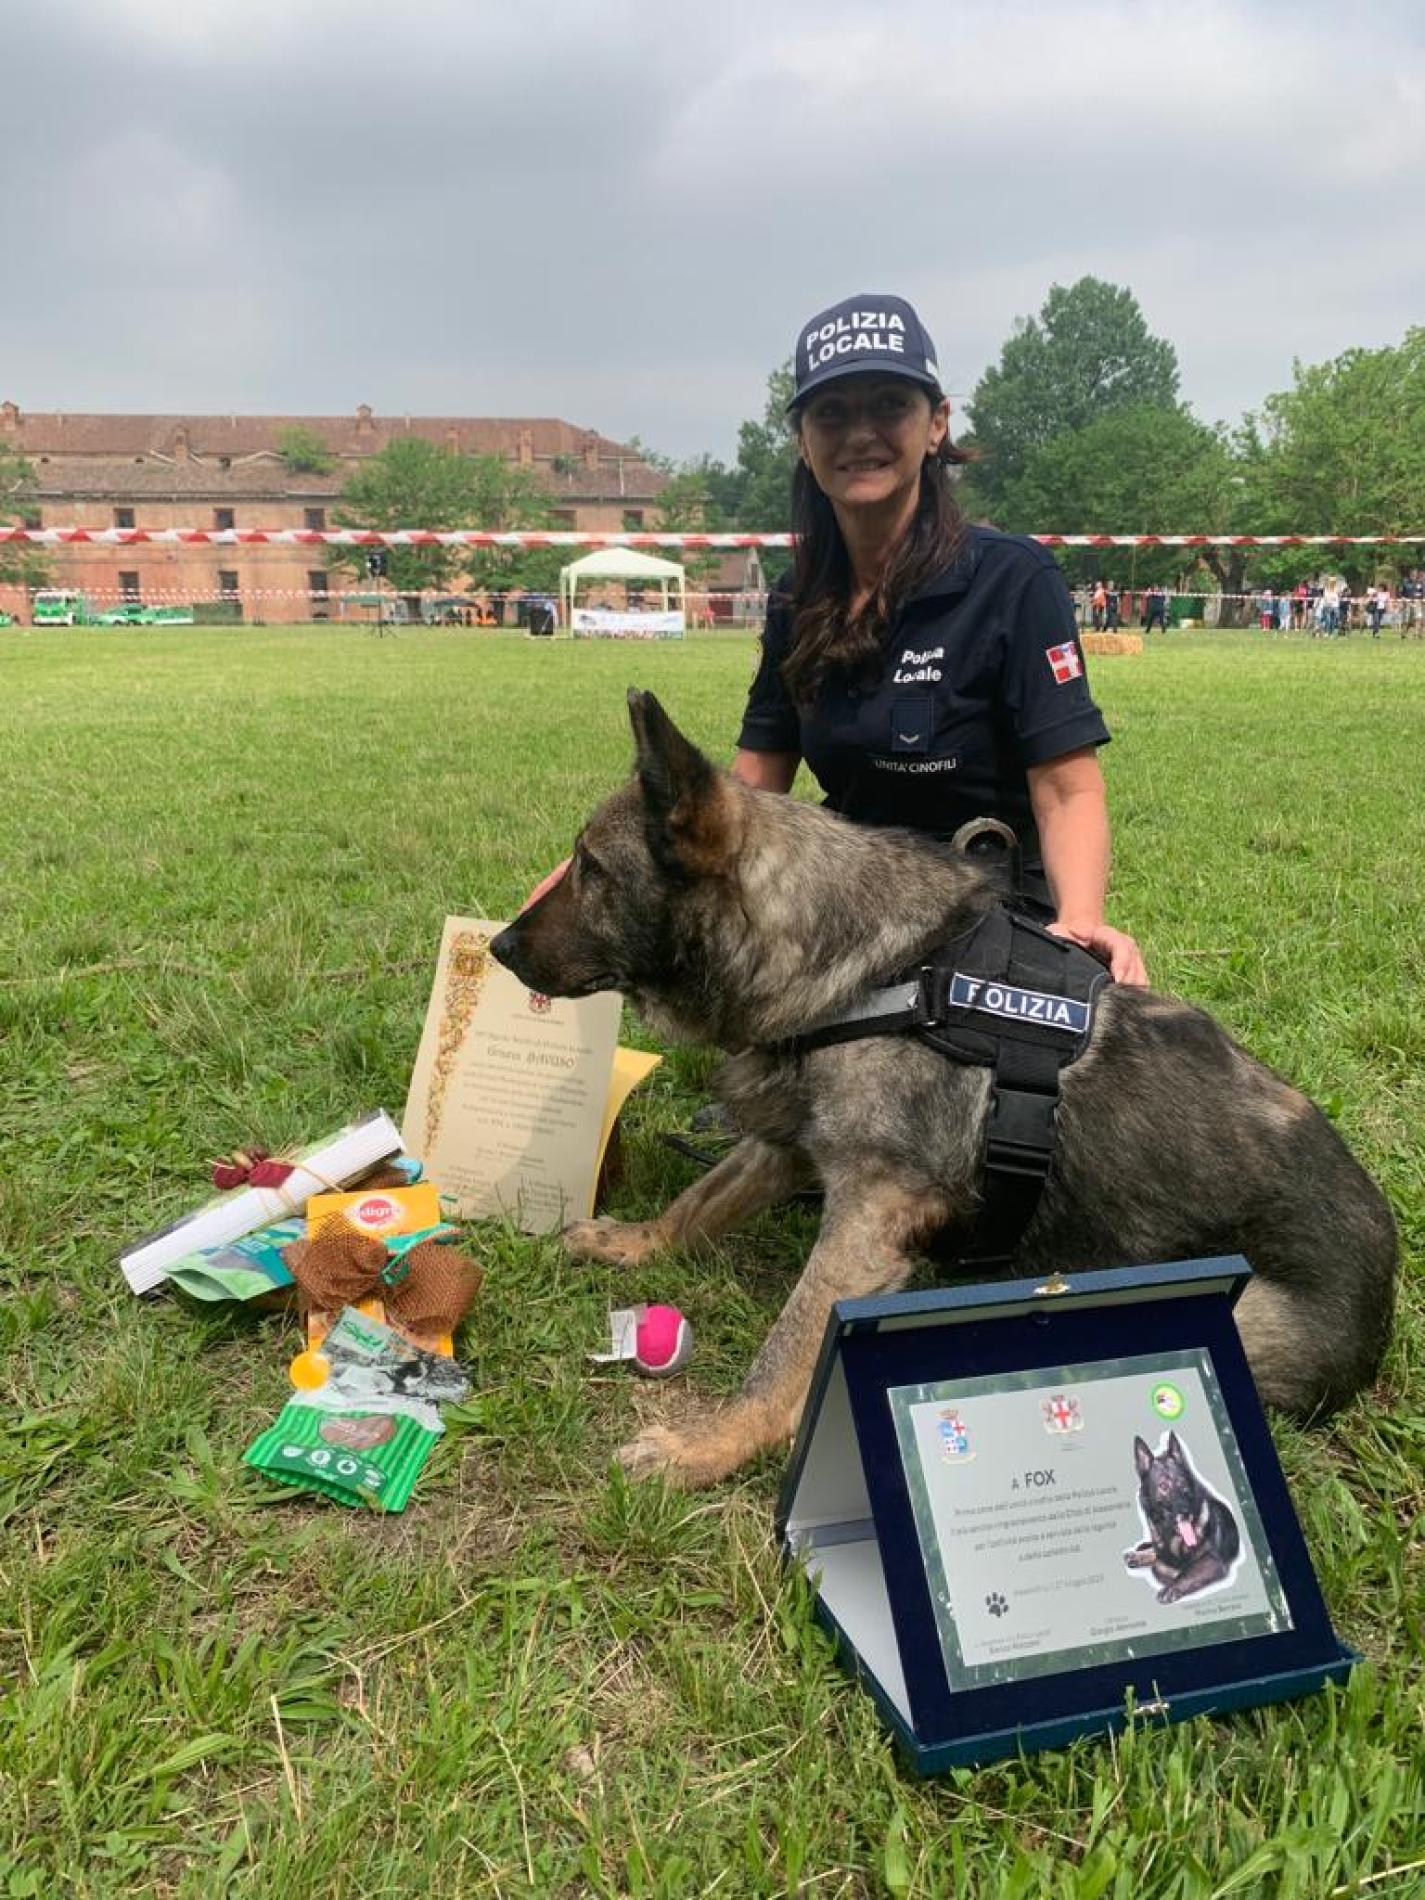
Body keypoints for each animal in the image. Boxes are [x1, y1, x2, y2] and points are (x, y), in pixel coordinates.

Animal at [490, 695, 1398, 1482]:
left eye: (591, 869)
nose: (498, 946)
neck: (880, 974)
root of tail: (1384, 1301)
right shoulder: (789, 1148)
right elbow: (698, 1203)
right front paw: (635, 1242)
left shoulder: (869, 1213)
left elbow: (783, 1350)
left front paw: (707, 1446)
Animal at [1132, 1428, 1246, 1596]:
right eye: (1164, 1486)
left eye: (1183, 1483)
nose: (1186, 1513)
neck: (1173, 1537)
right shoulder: (1163, 1560)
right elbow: (1161, 1566)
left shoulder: (1212, 1560)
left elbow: (1186, 1571)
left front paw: (1172, 1587)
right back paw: (1136, 1556)